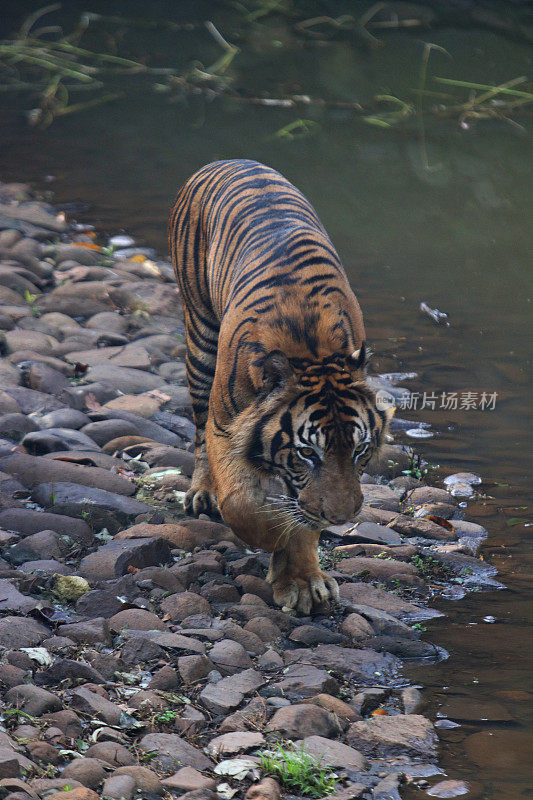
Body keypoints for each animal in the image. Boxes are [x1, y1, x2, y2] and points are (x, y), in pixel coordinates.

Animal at [168, 159, 392, 616]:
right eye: (308, 453)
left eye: (359, 449)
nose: (340, 519)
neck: (313, 349)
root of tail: (227, 159)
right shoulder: (225, 426)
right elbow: (242, 504)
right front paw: (276, 537)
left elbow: (304, 520)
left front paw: (304, 581)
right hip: (199, 339)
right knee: (197, 433)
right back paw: (202, 494)